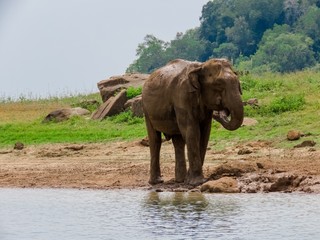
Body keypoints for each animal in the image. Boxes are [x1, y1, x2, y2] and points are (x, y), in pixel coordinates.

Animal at [141, 58, 244, 186]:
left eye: (237, 81)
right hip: (146, 110)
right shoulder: (182, 97)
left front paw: (191, 180)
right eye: (219, 83)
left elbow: (204, 133)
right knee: (155, 140)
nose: (219, 112)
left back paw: (180, 180)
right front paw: (197, 182)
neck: (201, 66)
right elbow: (192, 131)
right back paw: (157, 181)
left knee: (178, 141)